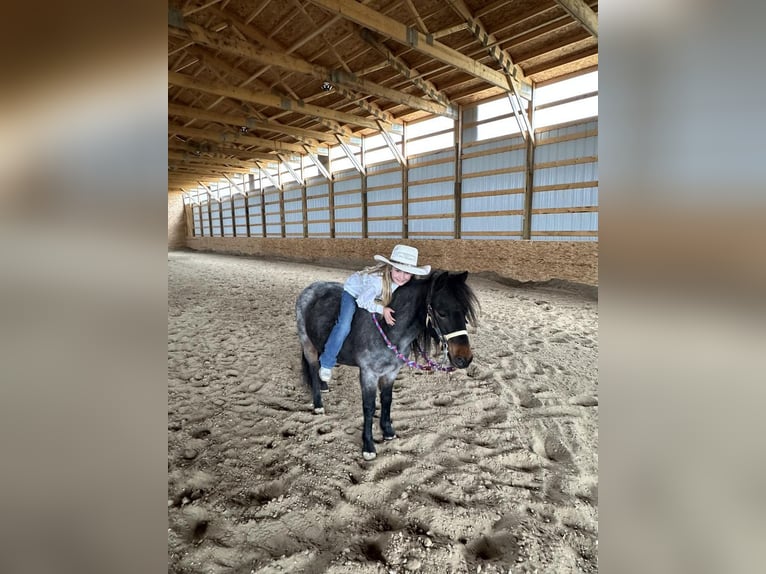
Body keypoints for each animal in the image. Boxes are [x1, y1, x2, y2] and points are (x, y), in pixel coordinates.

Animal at [296, 272, 480, 464]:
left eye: (465, 312)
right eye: (442, 313)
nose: (465, 358)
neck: (388, 329)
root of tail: (312, 288)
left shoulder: (391, 372)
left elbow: (387, 399)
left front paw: (388, 431)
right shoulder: (368, 374)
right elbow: (369, 407)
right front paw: (368, 446)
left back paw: (324, 384)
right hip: (307, 344)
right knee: (312, 368)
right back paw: (318, 404)